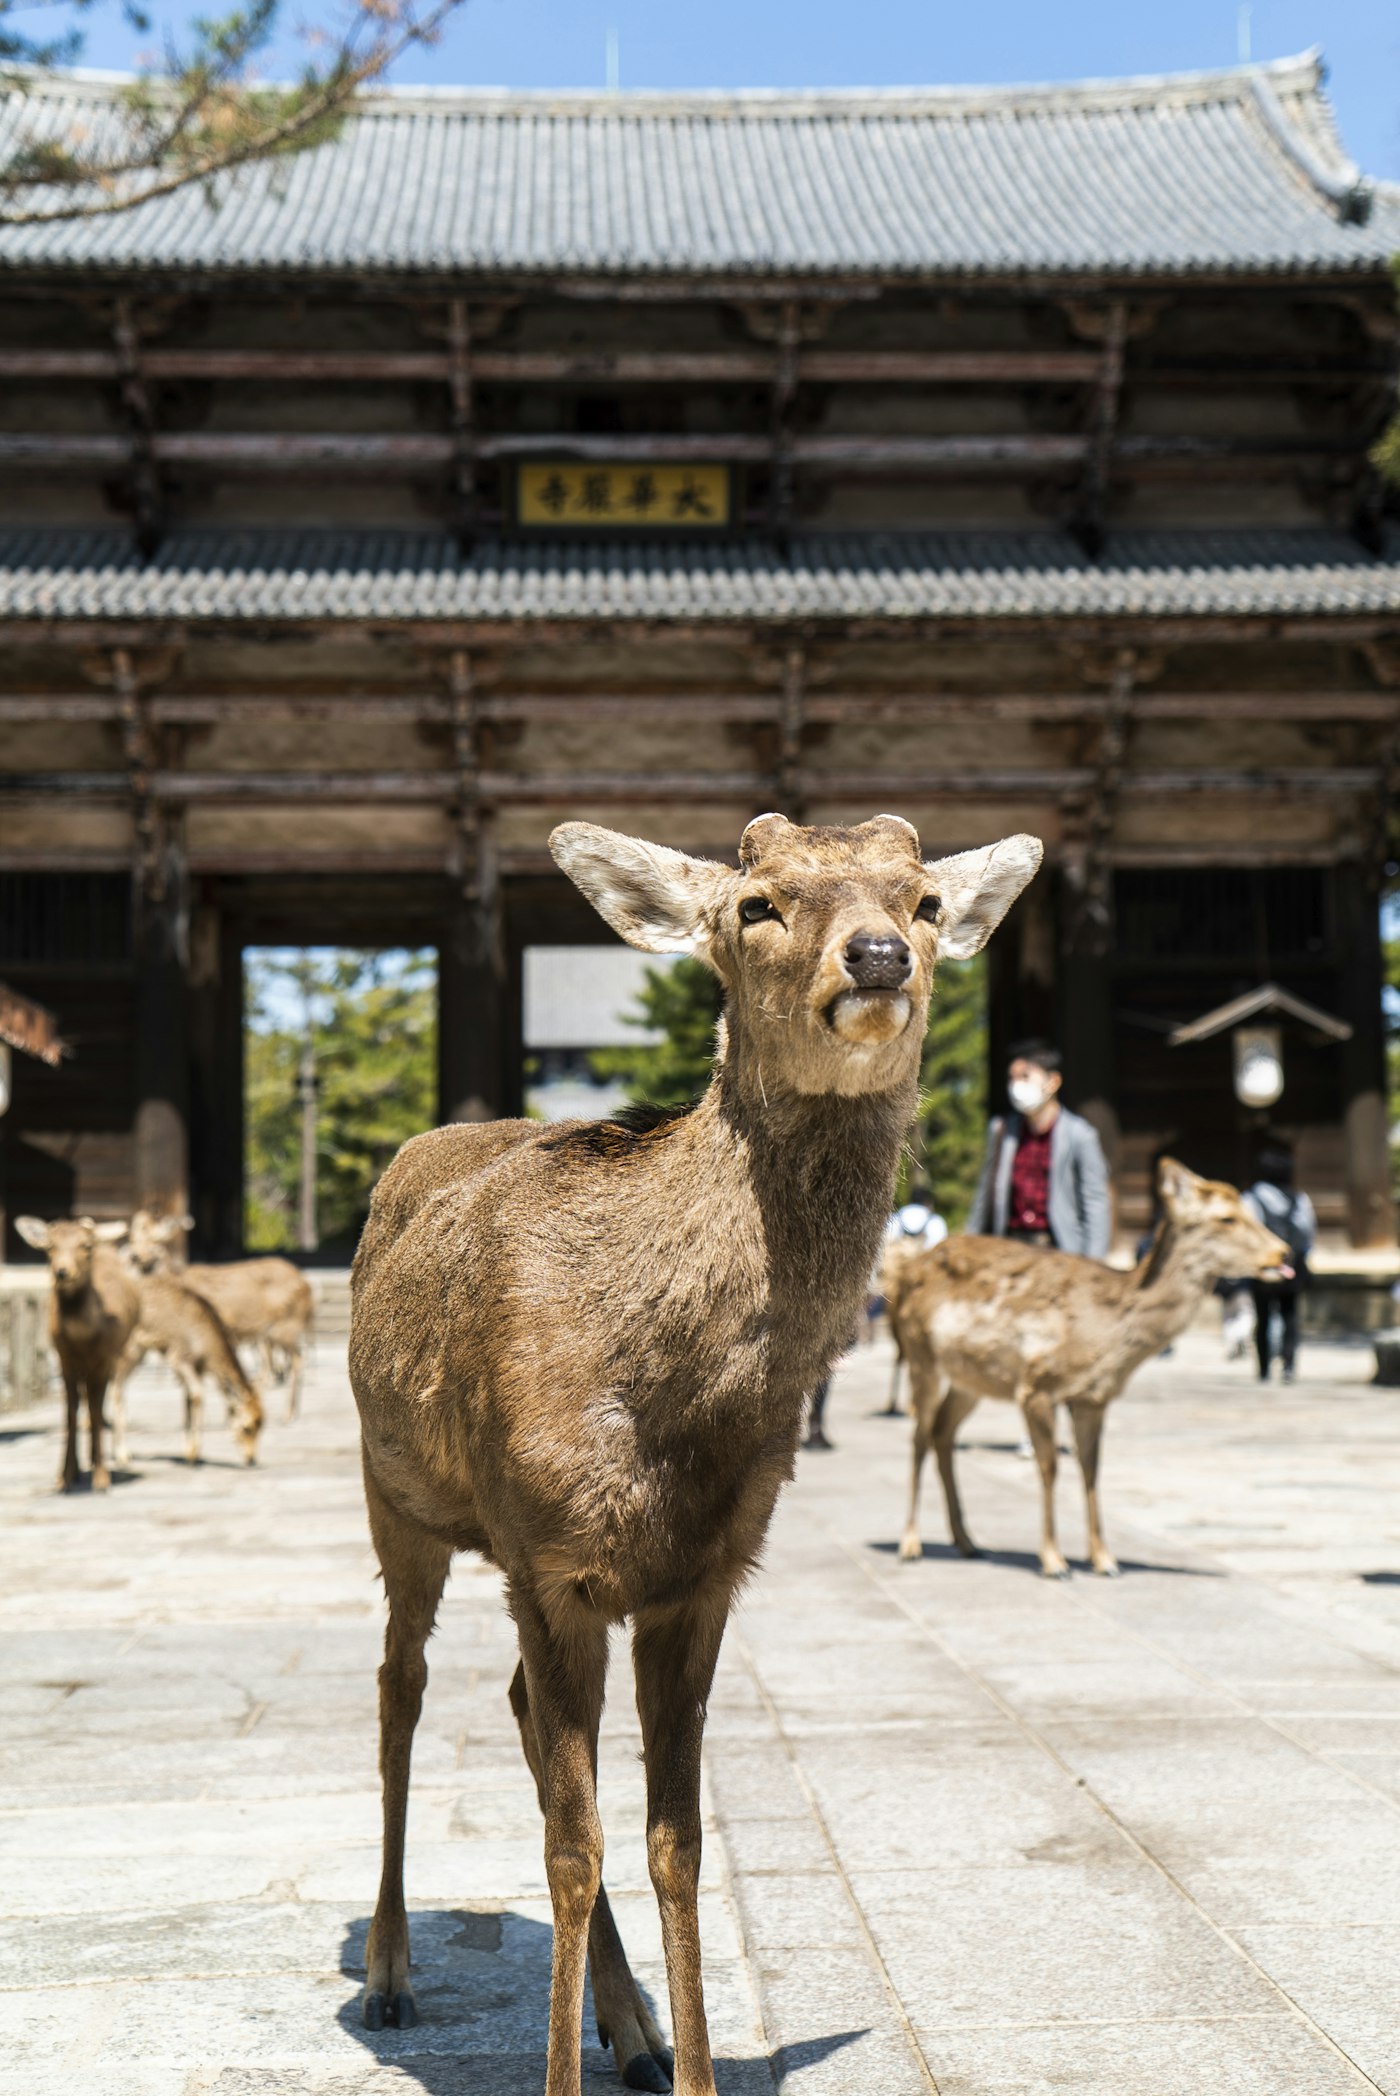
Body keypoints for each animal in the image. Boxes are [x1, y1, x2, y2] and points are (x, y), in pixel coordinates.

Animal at [15, 1215, 139, 1492]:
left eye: (85, 1245)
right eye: (50, 1245)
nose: (62, 1272)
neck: (81, 1340)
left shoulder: (103, 1358)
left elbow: (94, 1408)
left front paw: (101, 1478)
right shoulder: (64, 1358)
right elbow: (70, 1413)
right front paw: (65, 1476)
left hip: (116, 1355)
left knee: (99, 1401)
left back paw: (97, 1461)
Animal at [123, 1209, 314, 1419]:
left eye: (154, 1240)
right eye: (133, 1237)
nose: (134, 1256)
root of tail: (306, 1284)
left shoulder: (220, 1323)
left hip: (286, 1326)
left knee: (297, 1359)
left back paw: (288, 1412)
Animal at [348, 812, 1041, 2096]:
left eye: (922, 900)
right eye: (756, 904)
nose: (877, 957)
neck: (666, 1405)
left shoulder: (705, 1574)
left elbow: (675, 1839)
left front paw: (690, 2060)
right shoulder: (548, 1558)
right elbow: (570, 1849)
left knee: (511, 1702)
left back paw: (630, 2027)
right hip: (397, 1498)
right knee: (399, 1686)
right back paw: (388, 1970)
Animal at [892, 1157, 1292, 1580]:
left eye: (1251, 1211)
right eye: (1226, 1218)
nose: (1283, 1254)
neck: (1104, 1338)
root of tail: (906, 1271)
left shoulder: (1093, 1398)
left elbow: (1091, 1469)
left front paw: (1104, 1559)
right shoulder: (1036, 1385)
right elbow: (1050, 1466)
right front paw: (1054, 1561)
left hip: (970, 1379)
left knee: (942, 1433)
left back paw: (967, 1542)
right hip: (920, 1353)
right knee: (919, 1436)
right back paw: (910, 1543)